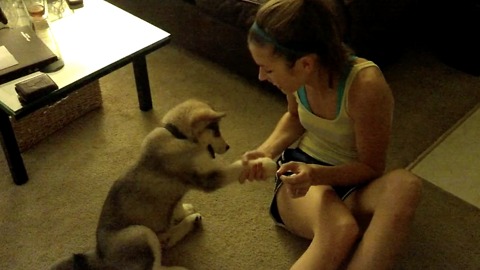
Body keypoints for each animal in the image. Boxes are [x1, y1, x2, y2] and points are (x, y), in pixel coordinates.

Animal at [50, 99, 276, 270]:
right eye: (216, 131)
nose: (228, 147)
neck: (178, 136)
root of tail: (99, 255)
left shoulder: (181, 189)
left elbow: (176, 203)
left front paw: (183, 211)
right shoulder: (208, 178)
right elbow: (235, 168)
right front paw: (265, 164)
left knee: (165, 241)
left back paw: (191, 221)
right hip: (140, 233)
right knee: (155, 265)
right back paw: (179, 267)